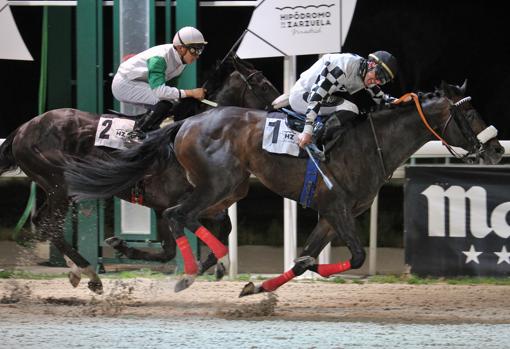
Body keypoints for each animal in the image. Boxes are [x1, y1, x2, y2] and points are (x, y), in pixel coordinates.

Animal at [0, 55, 278, 294]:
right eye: (264, 84)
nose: (280, 109)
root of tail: (22, 129)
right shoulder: (173, 202)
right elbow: (178, 244)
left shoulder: (184, 204)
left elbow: (204, 235)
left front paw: (212, 267)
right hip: (59, 185)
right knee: (52, 227)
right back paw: (90, 272)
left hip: (54, 189)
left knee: (43, 222)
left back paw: (77, 270)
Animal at [64, 79, 506, 294]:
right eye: (469, 114)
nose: (498, 148)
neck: (371, 142)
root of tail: (185, 124)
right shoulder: (338, 207)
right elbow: (357, 257)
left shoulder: (332, 214)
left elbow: (303, 260)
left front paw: (257, 287)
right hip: (217, 185)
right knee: (177, 215)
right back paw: (193, 270)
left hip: (227, 188)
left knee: (188, 219)